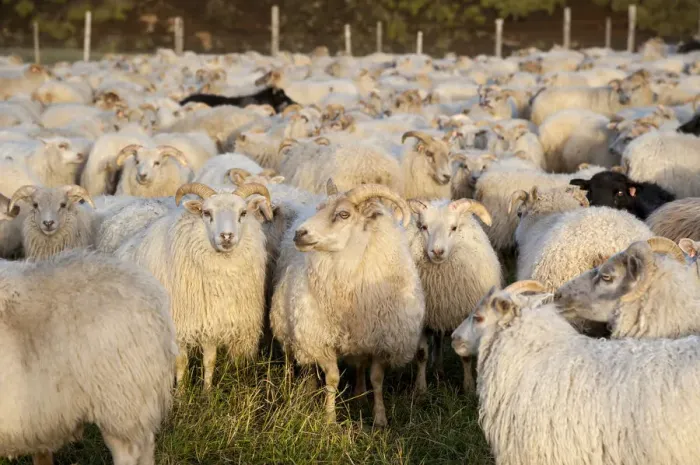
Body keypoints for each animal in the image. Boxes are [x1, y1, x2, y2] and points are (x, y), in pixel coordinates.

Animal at [116, 182, 271, 391]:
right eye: (206, 213)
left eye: (243, 213)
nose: (226, 236)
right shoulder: (178, 325)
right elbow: (181, 363)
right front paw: (182, 393)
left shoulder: (211, 321)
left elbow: (209, 360)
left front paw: (207, 392)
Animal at [270, 182, 425, 426]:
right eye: (320, 208)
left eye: (344, 214)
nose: (299, 234)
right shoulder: (321, 338)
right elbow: (332, 379)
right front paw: (329, 419)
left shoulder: (381, 339)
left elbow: (376, 379)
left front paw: (380, 418)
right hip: (292, 326)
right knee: (301, 359)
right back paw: (303, 388)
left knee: (360, 364)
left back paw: (359, 395)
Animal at [406, 198, 501, 393]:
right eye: (423, 227)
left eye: (454, 228)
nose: (437, 252)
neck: (440, 284)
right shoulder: (423, 318)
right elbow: (421, 354)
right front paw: (420, 389)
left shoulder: (464, 314)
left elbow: (465, 356)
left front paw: (469, 387)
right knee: (437, 339)